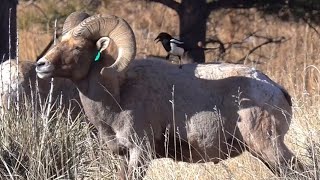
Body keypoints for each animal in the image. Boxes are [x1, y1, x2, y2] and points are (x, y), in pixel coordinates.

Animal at [35, 13, 302, 179]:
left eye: (78, 47)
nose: (41, 65)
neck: (117, 95)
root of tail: (276, 89)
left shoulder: (140, 152)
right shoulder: (122, 156)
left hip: (269, 147)